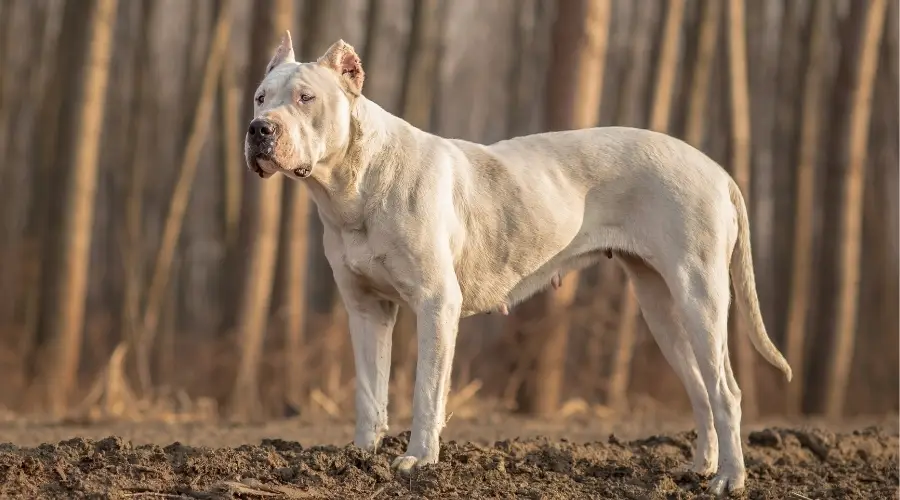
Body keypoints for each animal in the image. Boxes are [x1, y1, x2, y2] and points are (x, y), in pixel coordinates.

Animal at [244, 32, 788, 496]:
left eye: (306, 99)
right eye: (260, 97)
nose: (258, 130)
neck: (353, 183)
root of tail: (716, 170)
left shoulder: (436, 305)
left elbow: (426, 391)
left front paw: (418, 461)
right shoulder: (366, 309)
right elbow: (368, 392)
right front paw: (358, 458)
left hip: (699, 296)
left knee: (726, 391)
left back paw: (730, 480)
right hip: (661, 306)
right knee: (700, 389)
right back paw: (701, 468)